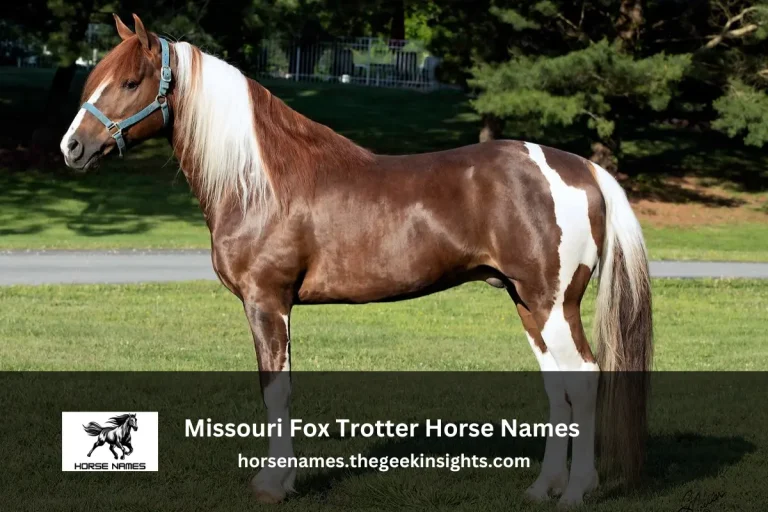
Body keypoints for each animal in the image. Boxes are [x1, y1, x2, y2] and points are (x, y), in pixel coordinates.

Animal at [61, 14, 652, 507]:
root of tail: (580, 168)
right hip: (528, 303)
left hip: (554, 304)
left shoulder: (267, 302)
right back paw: (542, 487)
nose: (72, 148)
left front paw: (274, 485)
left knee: (584, 378)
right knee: (558, 386)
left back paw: (575, 492)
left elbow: (276, 389)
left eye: (130, 83)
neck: (260, 182)